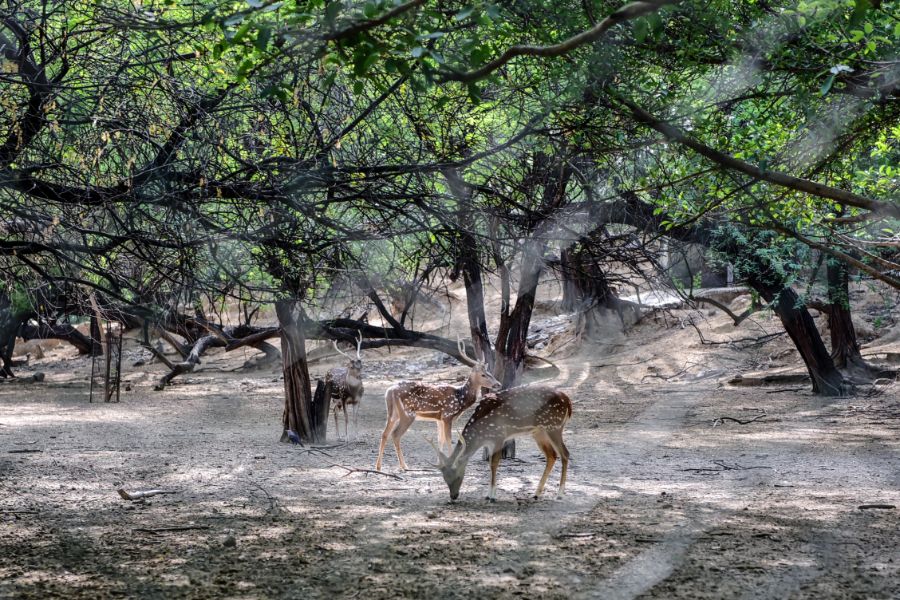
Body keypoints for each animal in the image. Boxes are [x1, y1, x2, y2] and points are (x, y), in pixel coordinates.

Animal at [375, 338, 501, 472]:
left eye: (489, 372)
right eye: (483, 374)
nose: (498, 384)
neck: (460, 398)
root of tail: (389, 391)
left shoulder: (439, 419)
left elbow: (441, 439)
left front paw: (440, 463)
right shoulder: (447, 415)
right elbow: (449, 439)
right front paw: (452, 464)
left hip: (393, 414)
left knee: (384, 434)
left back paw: (378, 466)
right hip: (407, 414)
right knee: (395, 435)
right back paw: (404, 466)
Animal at [433, 385, 572, 502]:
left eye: (457, 476)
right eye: (444, 478)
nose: (453, 496)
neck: (482, 433)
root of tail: (568, 402)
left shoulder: (499, 435)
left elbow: (494, 464)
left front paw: (492, 496)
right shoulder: (489, 442)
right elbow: (490, 464)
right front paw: (488, 495)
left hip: (554, 426)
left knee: (565, 453)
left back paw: (559, 494)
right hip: (539, 432)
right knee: (552, 455)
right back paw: (536, 494)